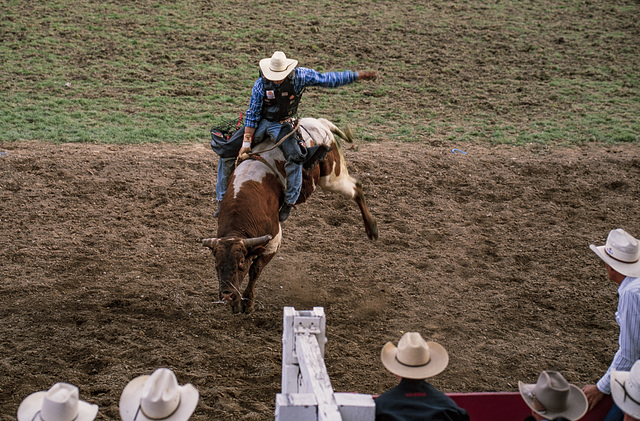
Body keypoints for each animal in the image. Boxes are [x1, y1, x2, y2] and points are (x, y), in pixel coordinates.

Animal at [202, 117, 378, 312]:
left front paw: (247, 303)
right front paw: (236, 304)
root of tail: (320, 122)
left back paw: (372, 229)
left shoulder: (274, 239)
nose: (226, 294)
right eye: (216, 264)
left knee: (356, 188)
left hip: (332, 176)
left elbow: (255, 269)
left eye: (240, 263)